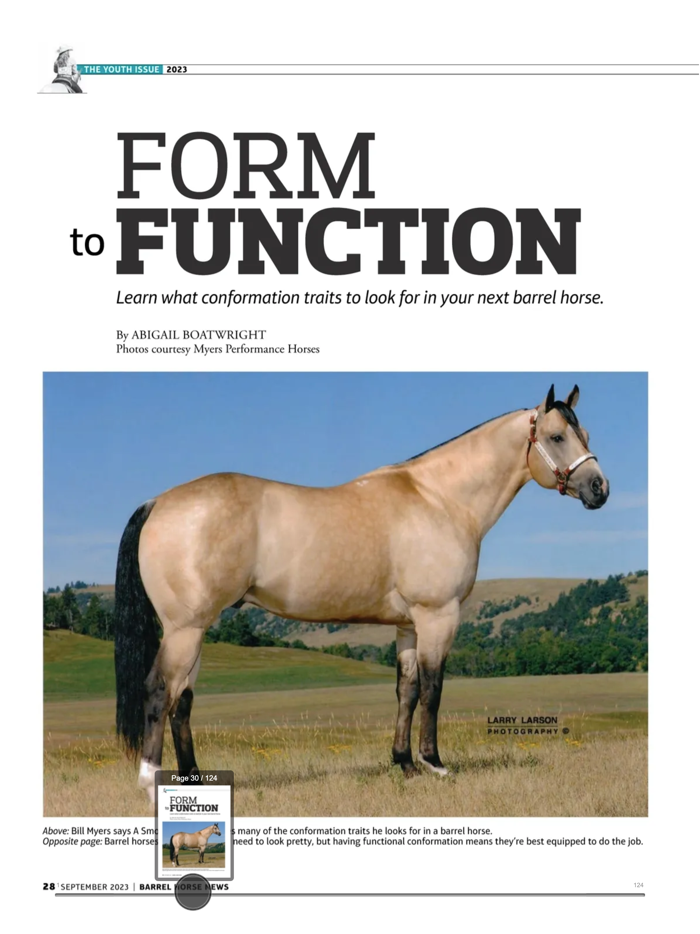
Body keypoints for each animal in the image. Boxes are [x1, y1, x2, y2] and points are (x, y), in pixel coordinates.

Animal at [113, 384, 609, 803]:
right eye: (557, 436)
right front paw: (434, 764)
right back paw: (151, 783)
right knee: (160, 691)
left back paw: (195, 782)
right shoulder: (438, 616)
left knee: (182, 701)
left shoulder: (408, 626)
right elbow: (433, 689)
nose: (600, 488)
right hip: (185, 628)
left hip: (196, 630)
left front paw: (404, 764)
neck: (440, 499)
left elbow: (407, 691)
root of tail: (158, 502)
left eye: (584, 433)